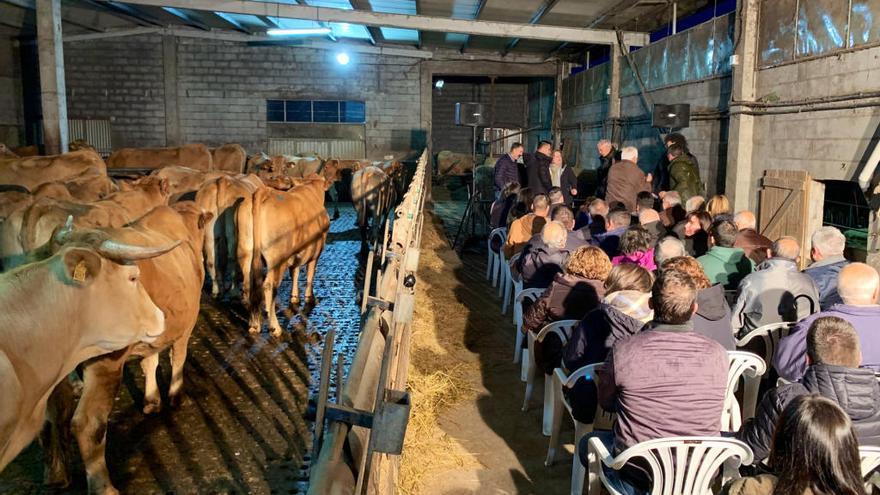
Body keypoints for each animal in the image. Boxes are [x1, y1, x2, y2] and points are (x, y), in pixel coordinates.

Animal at [40, 203, 212, 494]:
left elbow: (149, 362)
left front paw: (152, 400)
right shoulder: (186, 326)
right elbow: (177, 359)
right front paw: (175, 396)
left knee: (55, 412)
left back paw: (57, 473)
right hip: (105, 362)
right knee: (88, 422)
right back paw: (104, 486)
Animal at [241, 175, 330, 338]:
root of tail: (264, 192)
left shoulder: (295, 254)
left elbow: (295, 272)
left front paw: (294, 297)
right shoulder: (316, 253)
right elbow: (309, 275)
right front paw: (309, 298)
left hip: (246, 254)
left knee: (248, 284)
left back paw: (254, 325)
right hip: (277, 260)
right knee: (269, 286)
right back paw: (275, 327)